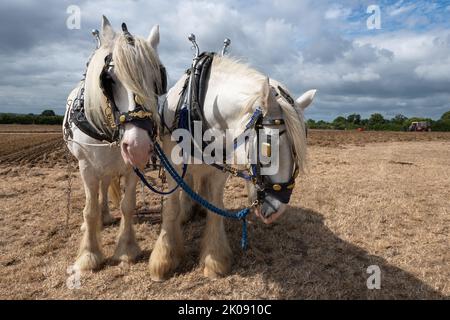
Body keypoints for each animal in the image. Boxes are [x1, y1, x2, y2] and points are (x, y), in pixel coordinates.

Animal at [65, 16, 165, 272]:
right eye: (108, 80)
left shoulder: (132, 167)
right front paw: (89, 255)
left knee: (105, 184)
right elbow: (89, 210)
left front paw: (126, 250)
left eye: (158, 80)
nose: (138, 146)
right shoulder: (86, 166)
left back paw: (107, 216)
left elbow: (127, 205)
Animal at [136, 55, 316, 280]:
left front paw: (214, 260)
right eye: (268, 147)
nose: (277, 210)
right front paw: (164, 260)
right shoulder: (172, 165)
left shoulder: (219, 169)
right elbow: (171, 207)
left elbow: (216, 207)